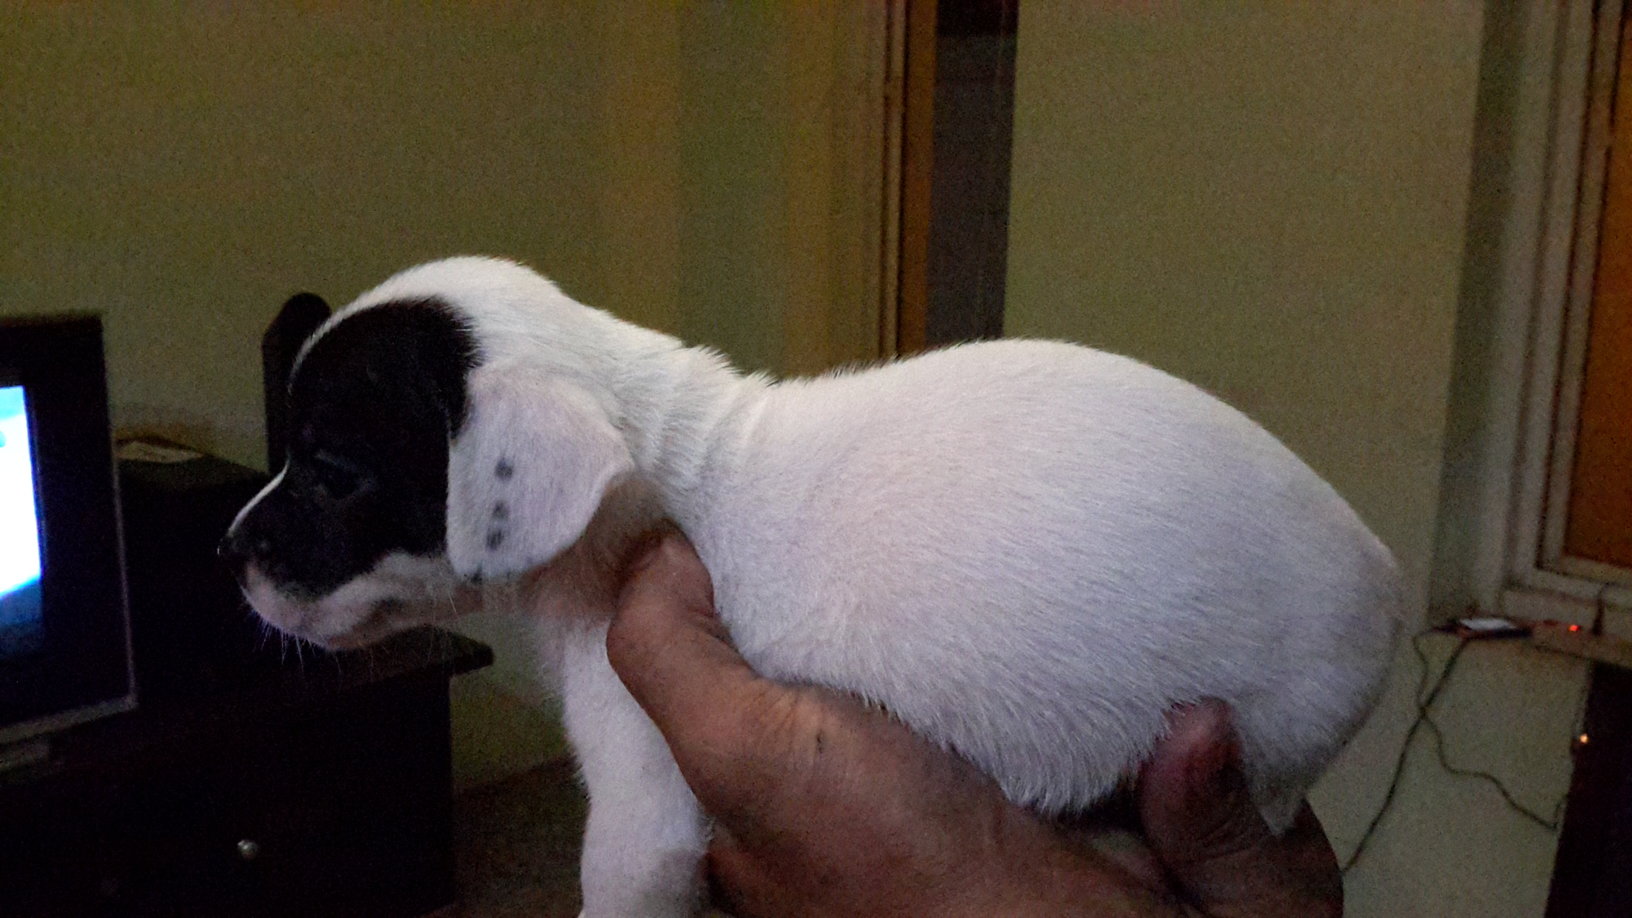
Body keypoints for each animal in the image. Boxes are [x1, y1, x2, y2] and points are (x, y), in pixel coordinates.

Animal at [223, 256, 1402, 917]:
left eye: (332, 472)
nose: (229, 550)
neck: (667, 470)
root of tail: (1386, 579)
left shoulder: (640, 814)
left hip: (1269, 745)